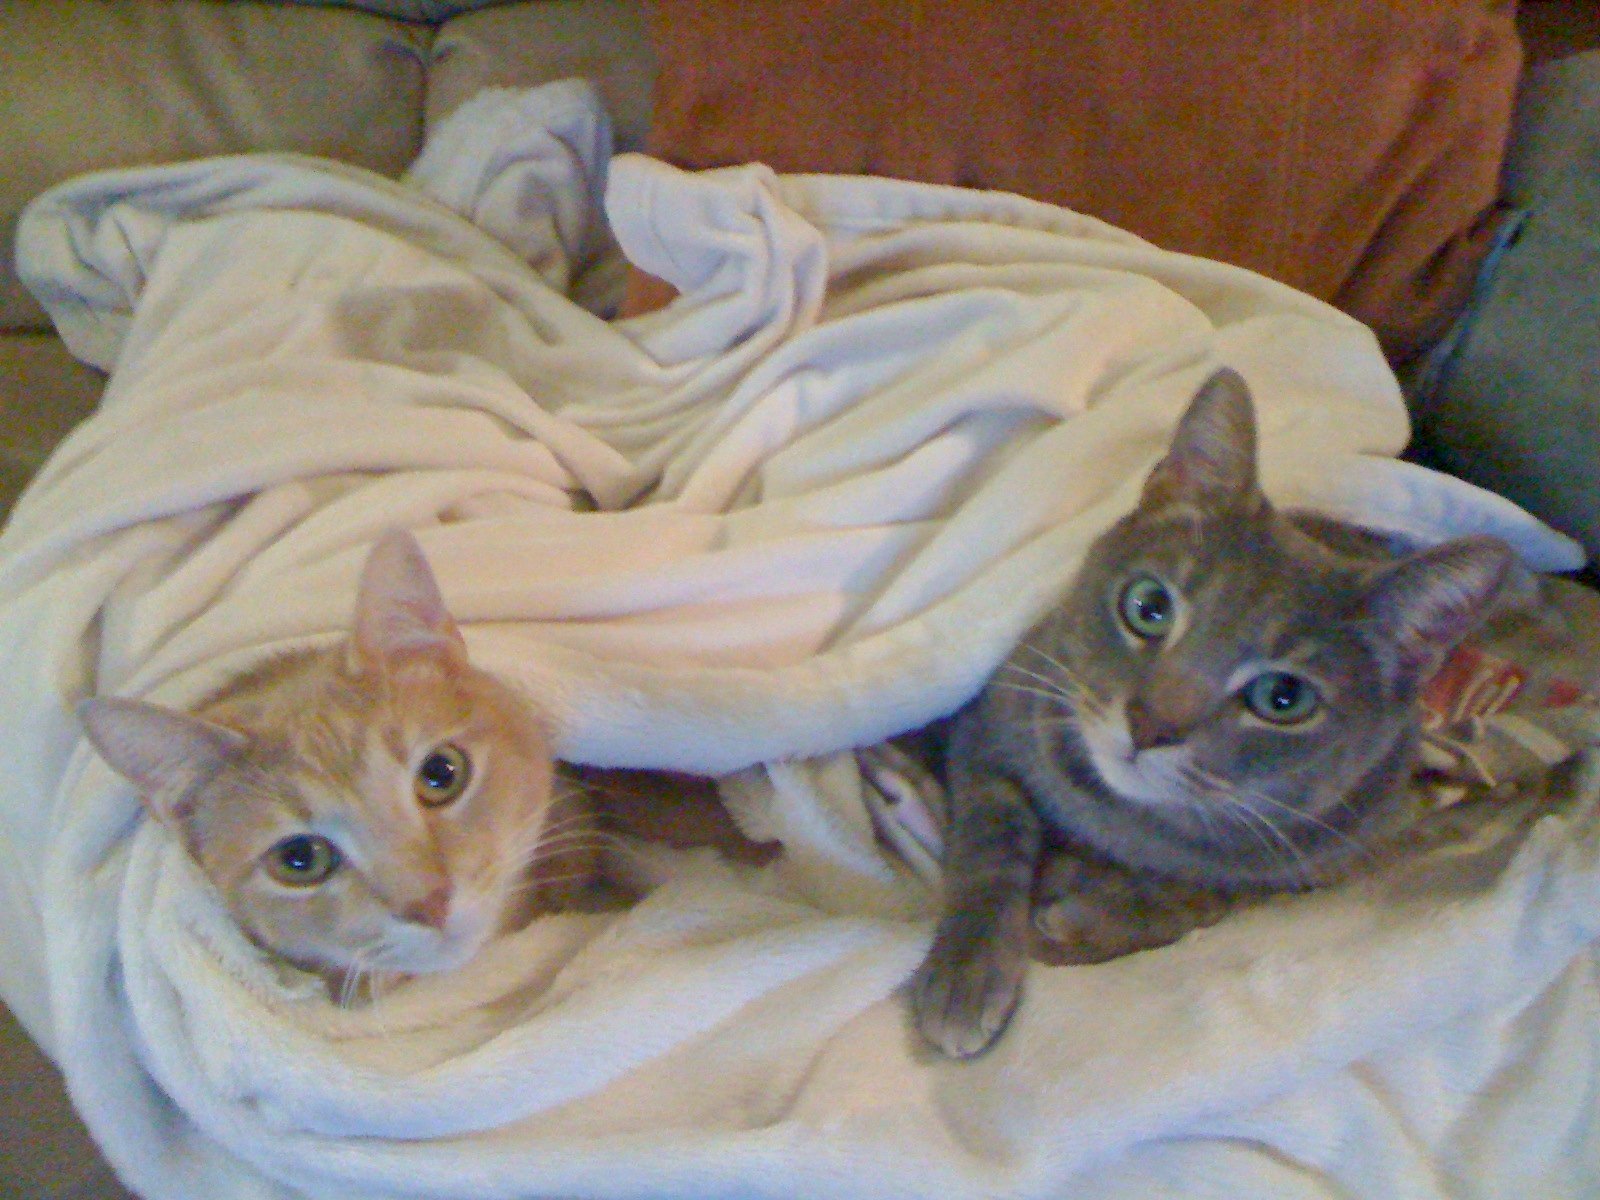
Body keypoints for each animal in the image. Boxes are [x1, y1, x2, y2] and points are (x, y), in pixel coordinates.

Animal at [908, 369, 1516, 1062]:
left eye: (1283, 698)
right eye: (1148, 606)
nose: (1149, 725)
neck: (1126, 819)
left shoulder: (1325, 854)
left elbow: (1210, 896)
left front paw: (1090, 919)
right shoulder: (994, 718)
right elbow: (991, 839)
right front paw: (967, 973)